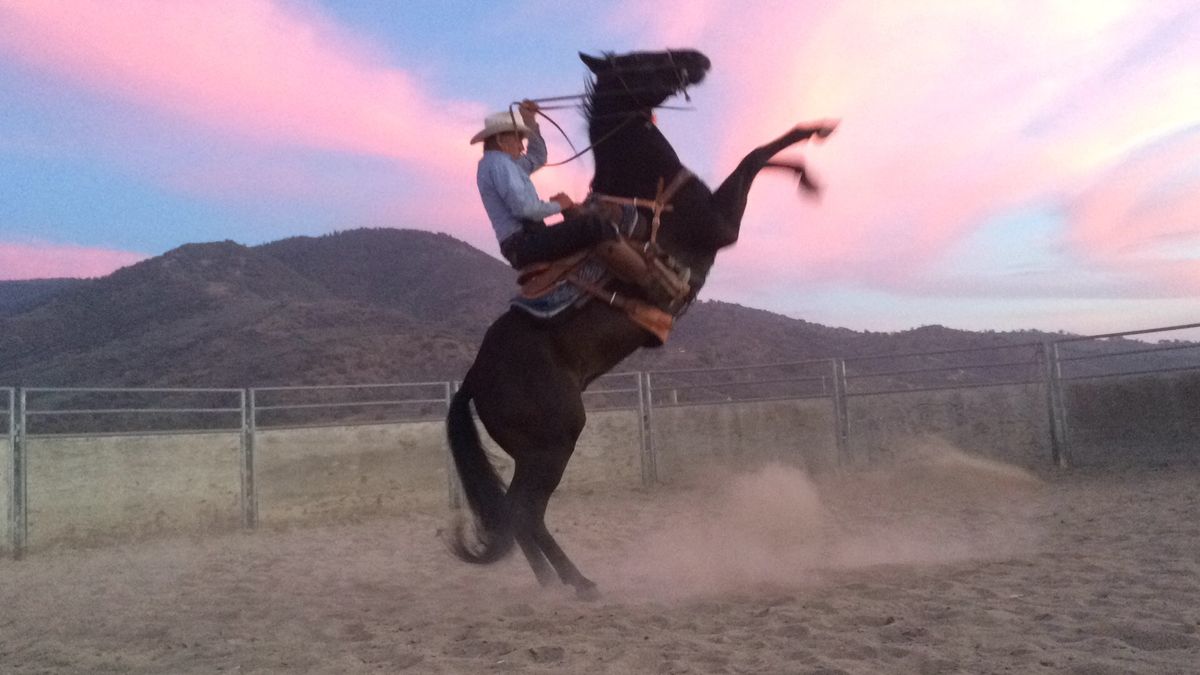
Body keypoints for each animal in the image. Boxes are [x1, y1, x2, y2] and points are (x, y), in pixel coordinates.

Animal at [448, 48, 835, 593]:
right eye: (640, 62)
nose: (698, 58)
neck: (644, 186)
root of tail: (474, 379)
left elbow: (762, 157)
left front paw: (809, 175)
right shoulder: (722, 223)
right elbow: (756, 155)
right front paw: (815, 136)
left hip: (533, 450)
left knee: (520, 516)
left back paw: (556, 584)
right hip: (554, 441)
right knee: (525, 512)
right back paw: (576, 584)